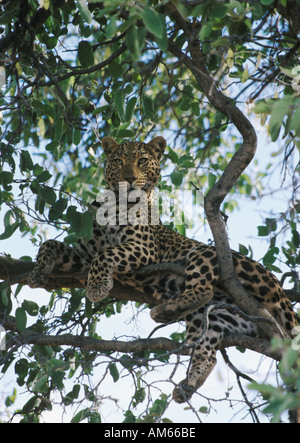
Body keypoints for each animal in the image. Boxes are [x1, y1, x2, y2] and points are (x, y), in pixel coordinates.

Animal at [28, 136, 298, 406]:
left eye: (141, 160)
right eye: (118, 161)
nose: (128, 178)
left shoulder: (143, 247)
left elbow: (106, 254)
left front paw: (96, 288)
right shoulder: (84, 257)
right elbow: (50, 244)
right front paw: (38, 272)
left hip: (210, 254)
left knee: (203, 288)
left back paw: (164, 312)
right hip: (221, 317)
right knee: (207, 346)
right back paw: (186, 381)